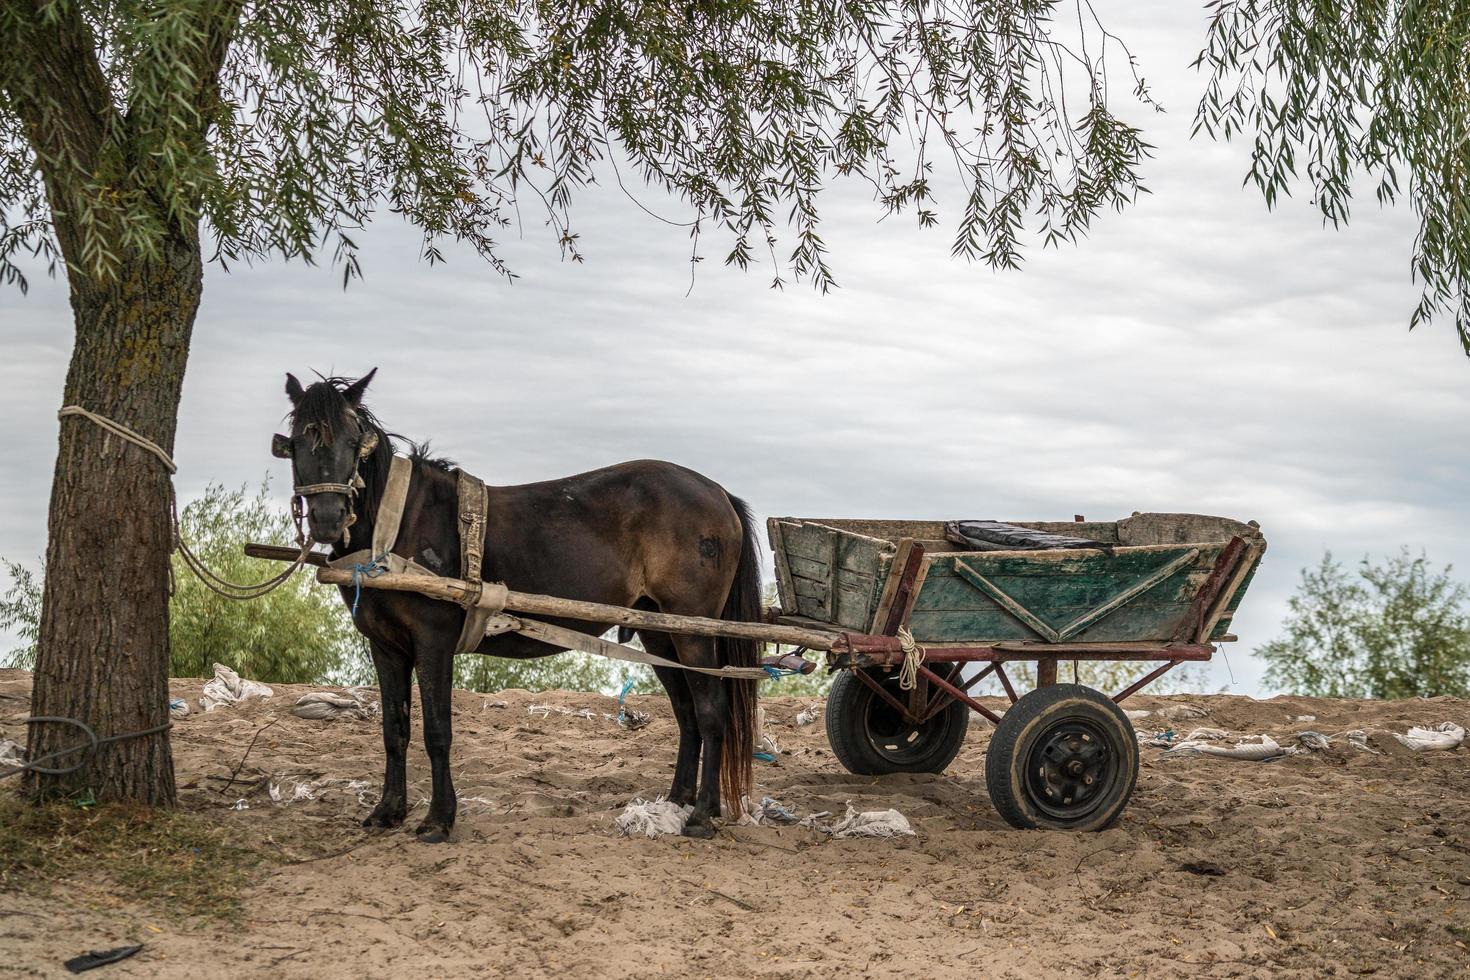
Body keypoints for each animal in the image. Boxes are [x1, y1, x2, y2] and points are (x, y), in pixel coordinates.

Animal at [277, 370, 758, 846]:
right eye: (296, 442)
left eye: (352, 440)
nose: (328, 519)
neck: (397, 527)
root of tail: (718, 492)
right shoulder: (386, 646)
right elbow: (394, 730)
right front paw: (388, 811)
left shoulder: (433, 642)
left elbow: (437, 731)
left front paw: (439, 819)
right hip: (658, 630)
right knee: (687, 713)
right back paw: (680, 801)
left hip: (693, 629)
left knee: (711, 711)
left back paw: (702, 815)